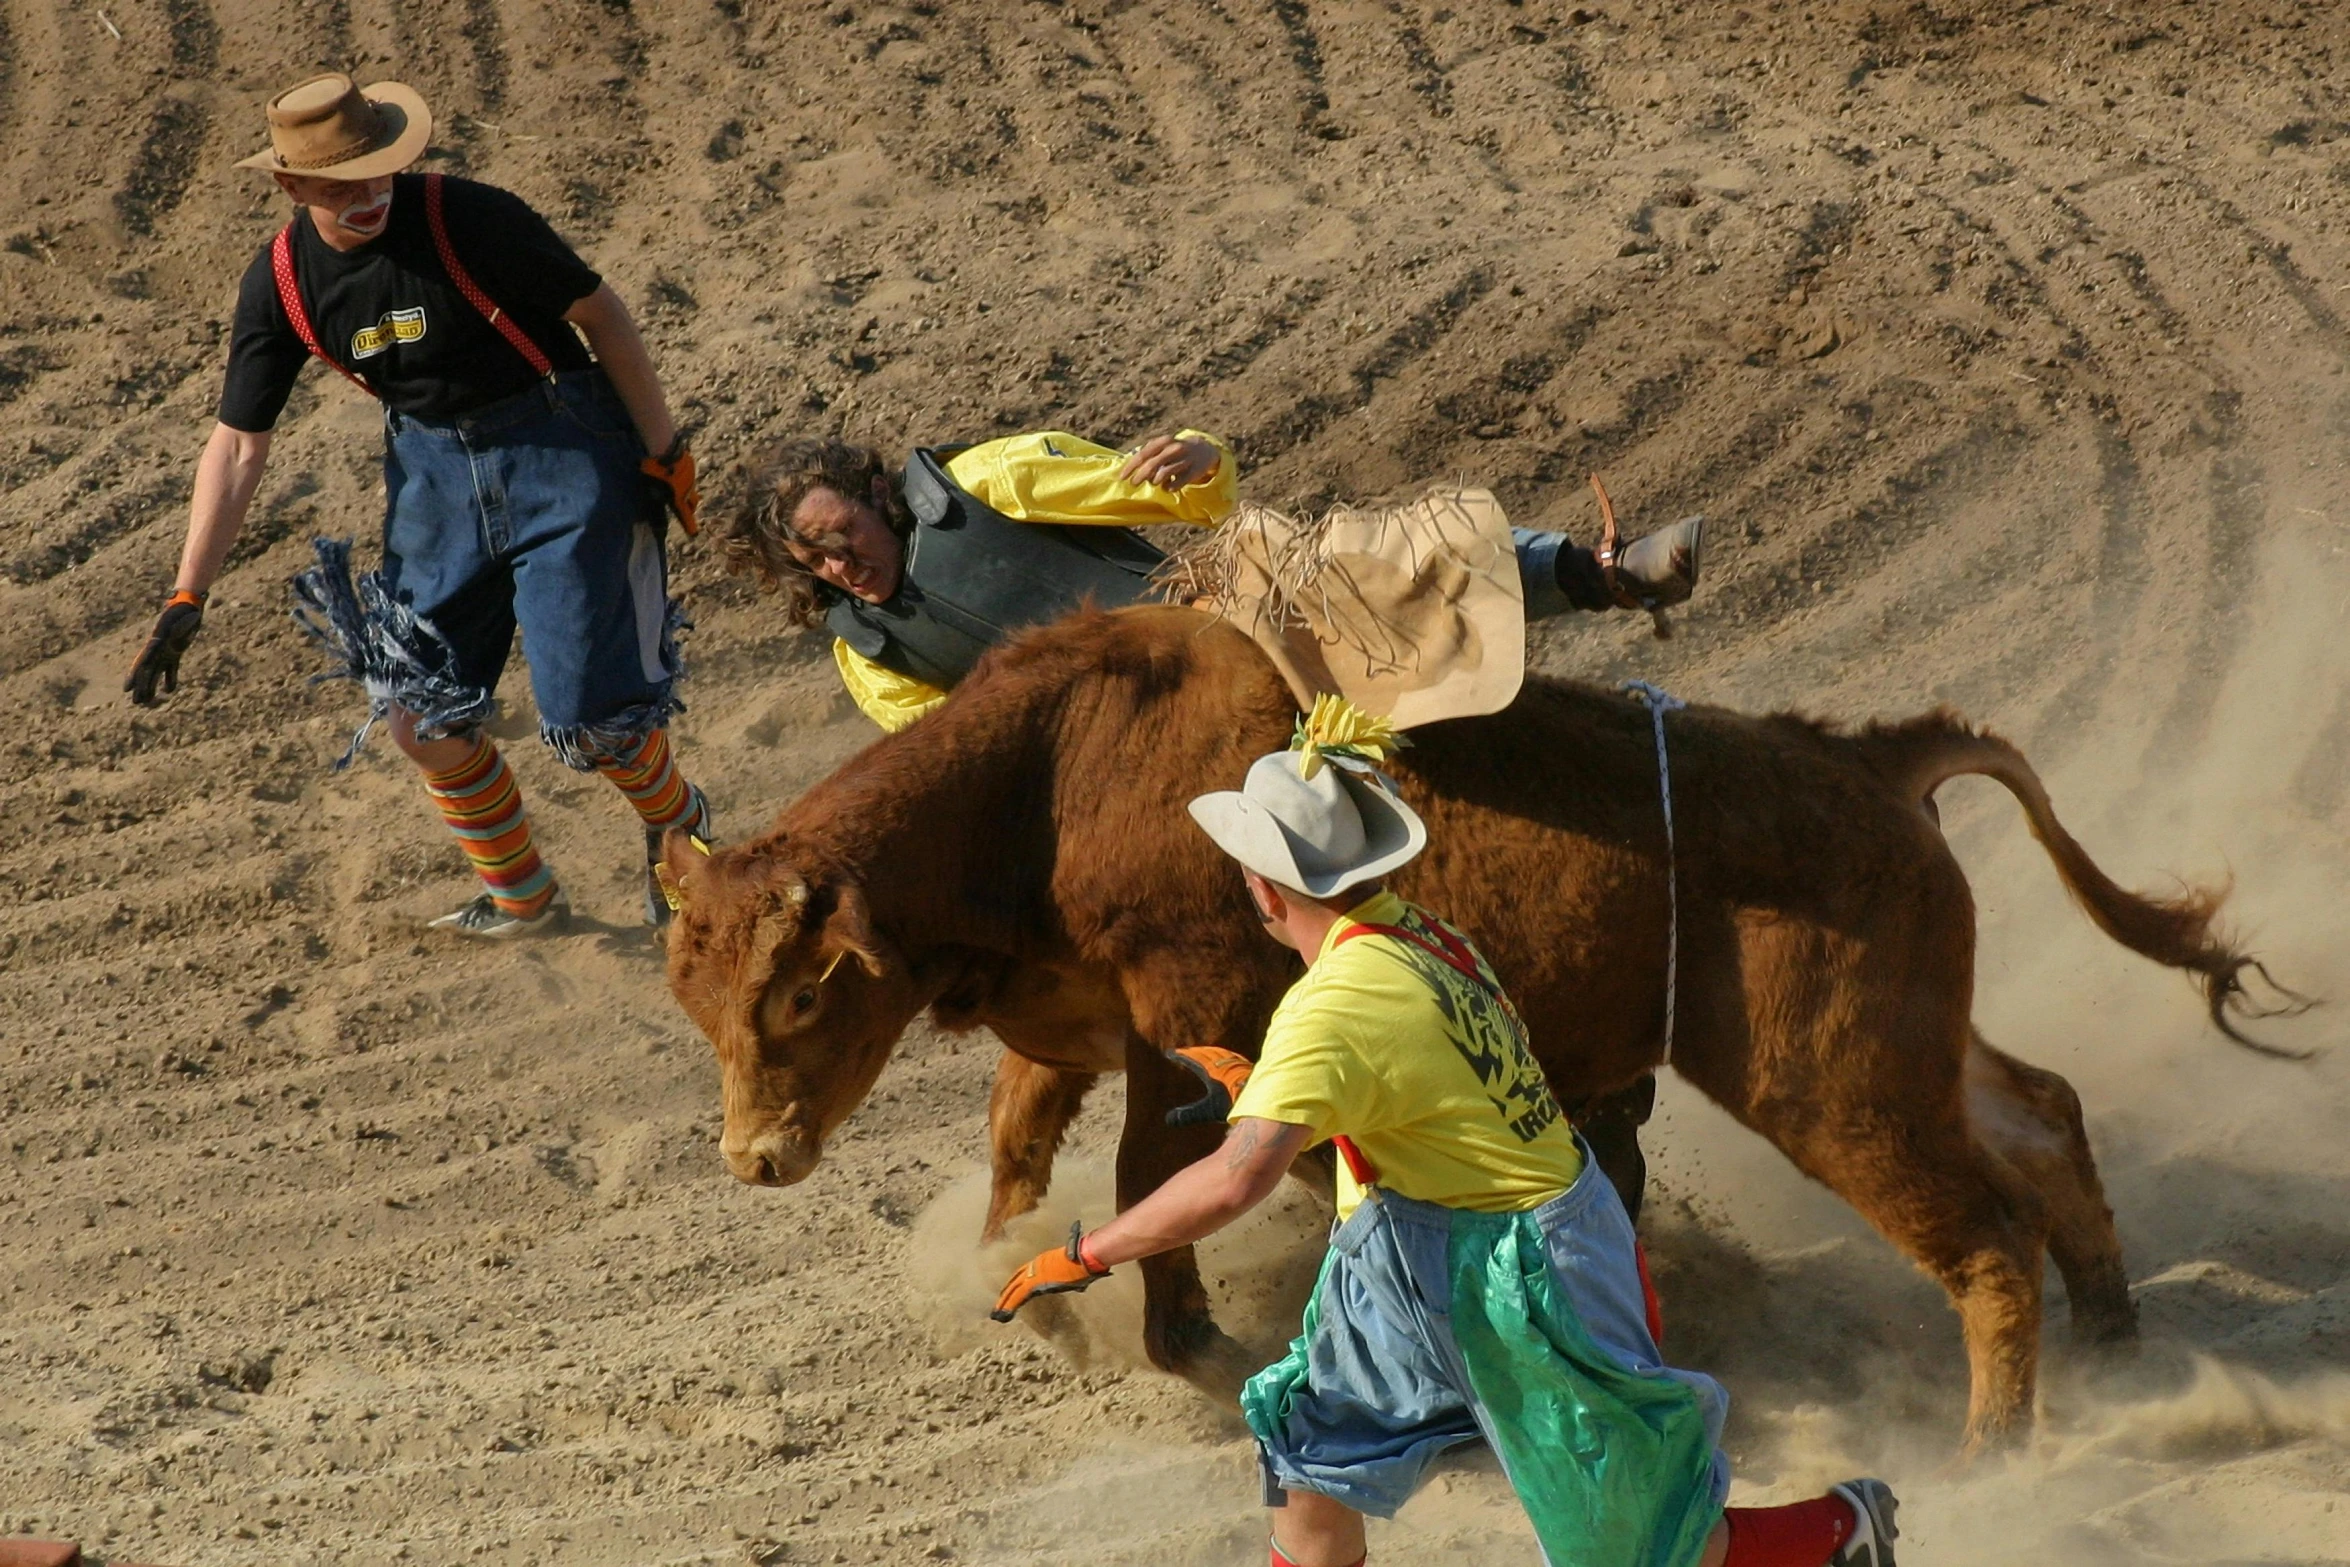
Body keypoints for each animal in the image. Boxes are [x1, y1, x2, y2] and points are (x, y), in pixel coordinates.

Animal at [667, 606, 2293, 1456]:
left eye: (800, 990)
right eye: (696, 1000)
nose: (753, 1158)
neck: (1055, 770)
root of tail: (1859, 759)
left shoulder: (1187, 1024)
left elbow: (1145, 1177)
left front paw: (1182, 1337)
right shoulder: (1079, 1025)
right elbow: (1020, 1144)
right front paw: (1018, 1276)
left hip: (1836, 1085)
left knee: (1981, 1238)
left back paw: (1994, 1451)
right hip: (1912, 1041)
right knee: (2042, 1116)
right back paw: (2122, 1349)